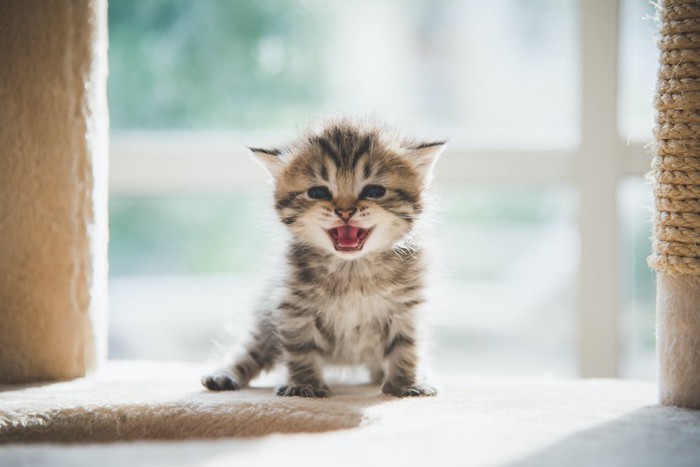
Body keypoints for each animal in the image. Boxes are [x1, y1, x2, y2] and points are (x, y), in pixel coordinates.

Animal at [202, 118, 442, 398]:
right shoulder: (294, 306)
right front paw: (304, 385)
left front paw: (405, 384)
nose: (345, 212)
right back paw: (224, 375)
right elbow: (301, 347)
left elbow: (406, 347)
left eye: (374, 191)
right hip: (264, 321)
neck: (352, 269)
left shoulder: (406, 307)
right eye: (318, 193)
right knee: (250, 350)